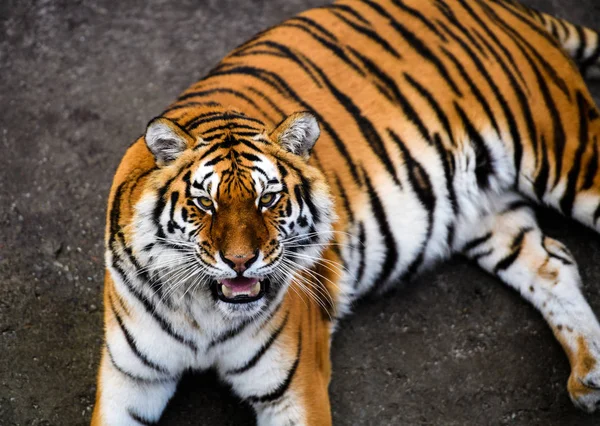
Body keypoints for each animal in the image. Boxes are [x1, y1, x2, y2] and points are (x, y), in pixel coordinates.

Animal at [91, 0, 600, 424]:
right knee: (553, 262)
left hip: (568, 156)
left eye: (267, 198)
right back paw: (590, 376)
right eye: (205, 203)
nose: (240, 262)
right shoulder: (128, 378)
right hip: (485, 210)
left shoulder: (294, 387)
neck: (202, 314)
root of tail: (511, 9)